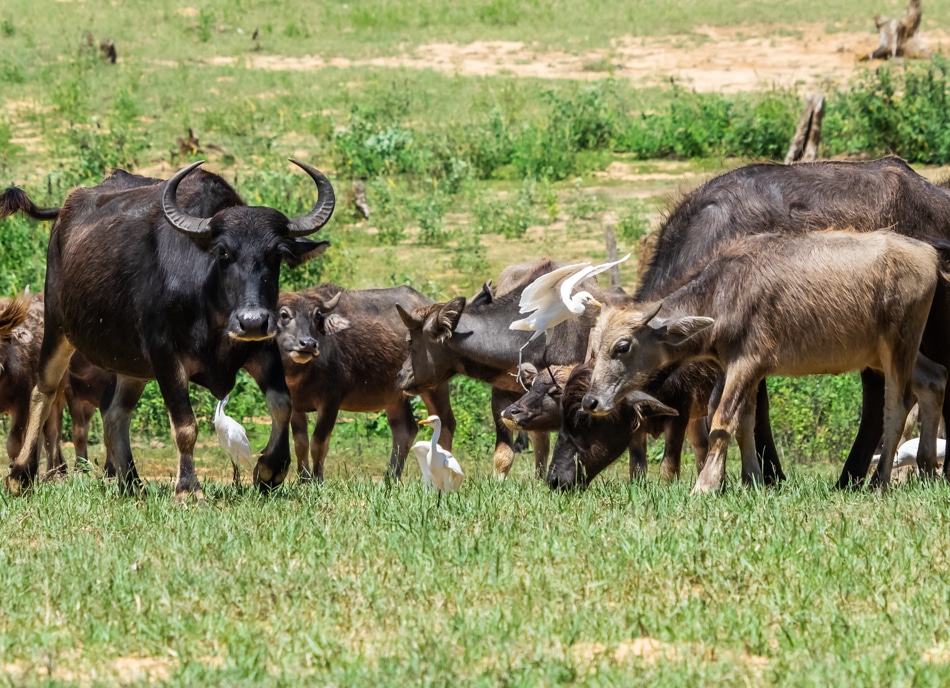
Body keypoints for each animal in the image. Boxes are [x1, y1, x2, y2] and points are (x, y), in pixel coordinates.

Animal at [0, 159, 334, 498]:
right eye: (223, 252)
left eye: (276, 253)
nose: (252, 321)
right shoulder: (166, 355)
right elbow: (186, 426)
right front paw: (188, 489)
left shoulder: (262, 348)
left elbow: (282, 404)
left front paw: (270, 470)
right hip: (59, 329)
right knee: (44, 392)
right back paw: (20, 475)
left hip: (131, 363)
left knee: (115, 413)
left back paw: (131, 482)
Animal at [276, 284, 455, 482]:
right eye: (284, 314)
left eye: (316, 316)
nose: (307, 343)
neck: (301, 374)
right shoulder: (295, 405)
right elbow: (300, 444)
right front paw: (304, 480)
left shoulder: (331, 401)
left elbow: (318, 442)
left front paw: (317, 480)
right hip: (394, 396)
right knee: (405, 430)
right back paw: (390, 479)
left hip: (434, 385)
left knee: (446, 424)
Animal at [585, 231, 948, 494]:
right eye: (594, 347)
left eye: (622, 346)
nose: (591, 401)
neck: (724, 293)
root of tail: (928, 255)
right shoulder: (737, 367)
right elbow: (744, 420)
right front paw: (752, 480)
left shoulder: (748, 362)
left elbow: (723, 419)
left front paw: (706, 484)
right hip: (885, 351)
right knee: (934, 379)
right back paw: (929, 468)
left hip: (898, 343)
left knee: (898, 405)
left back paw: (879, 481)